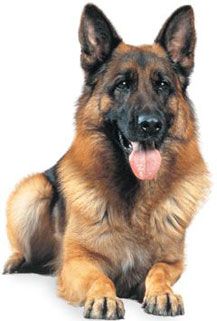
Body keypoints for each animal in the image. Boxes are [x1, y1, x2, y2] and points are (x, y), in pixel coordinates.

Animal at [3, 3, 210, 318]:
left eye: (162, 86)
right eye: (123, 85)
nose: (151, 125)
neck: (135, 201)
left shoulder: (173, 261)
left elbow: (158, 271)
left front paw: (163, 293)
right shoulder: (76, 261)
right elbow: (99, 277)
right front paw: (104, 298)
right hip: (34, 190)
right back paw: (16, 262)